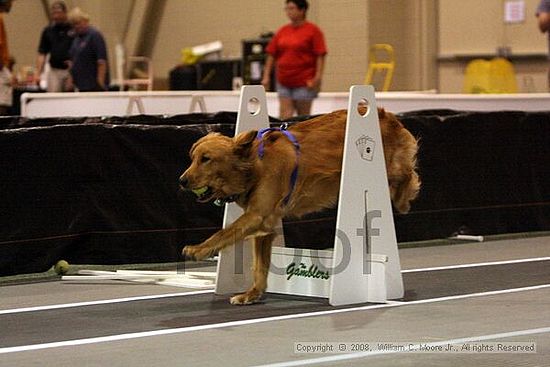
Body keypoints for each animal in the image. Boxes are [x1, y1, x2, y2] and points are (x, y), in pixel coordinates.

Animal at [179, 108, 420, 306]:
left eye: (206, 159)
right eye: (192, 158)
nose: (181, 181)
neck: (255, 166)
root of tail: (386, 114)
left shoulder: (257, 215)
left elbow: (223, 233)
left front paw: (198, 249)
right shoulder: (264, 226)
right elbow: (259, 265)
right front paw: (253, 294)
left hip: (387, 167)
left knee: (407, 174)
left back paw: (403, 199)